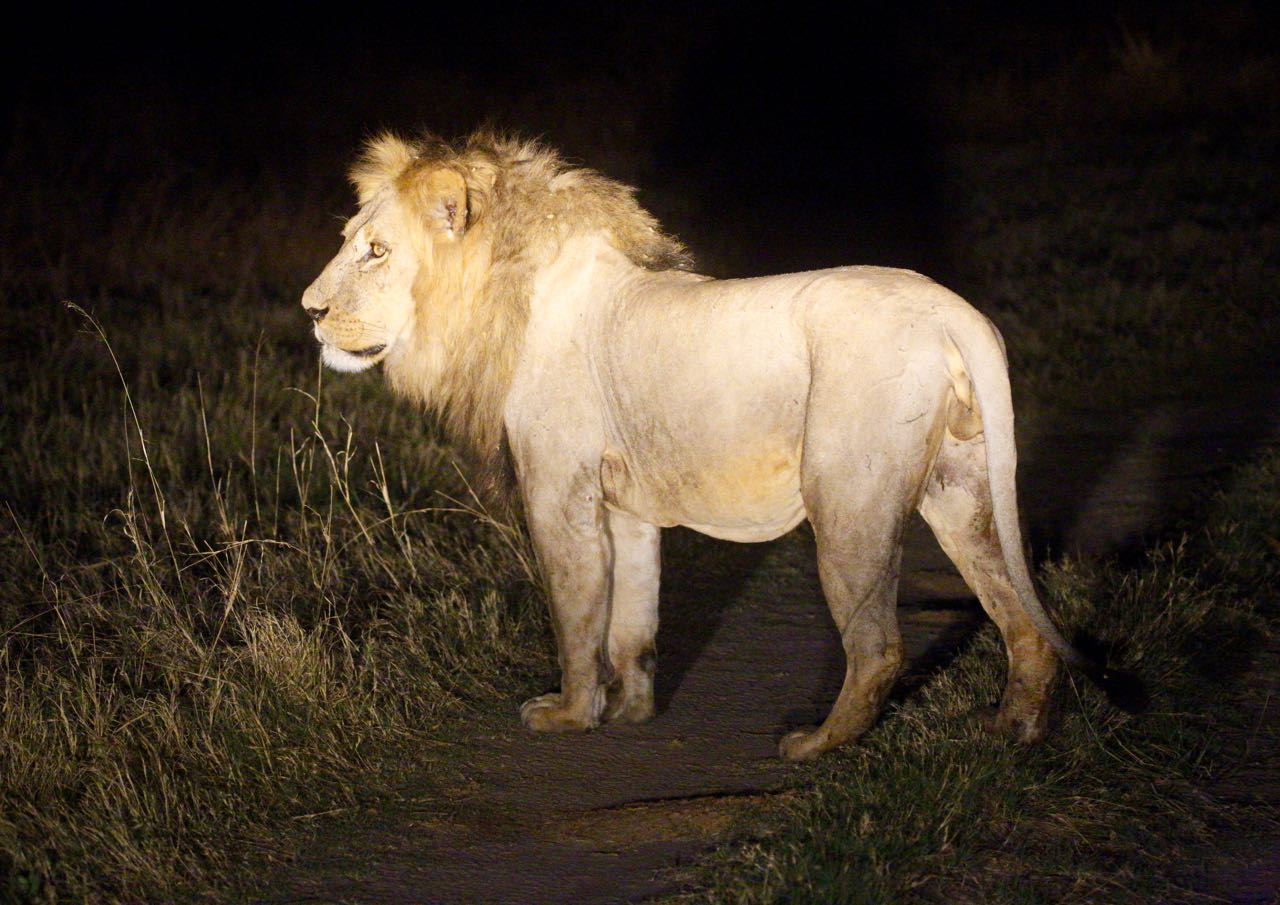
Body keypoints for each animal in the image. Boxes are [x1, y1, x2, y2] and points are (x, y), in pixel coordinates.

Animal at [302, 131, 1141, 762]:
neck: (504, 297)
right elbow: (632, 618)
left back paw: (816, 745)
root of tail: (950, 308)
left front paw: (569, 714)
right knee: (1020, 618)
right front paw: (633, 712)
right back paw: (1013, 730)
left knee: (878, 646)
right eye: (349, 243)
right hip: (961, 490)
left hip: (848, 499)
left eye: (376, 251)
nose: (309, 310)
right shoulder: (626, 505)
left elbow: (577, 613)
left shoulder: (557, 490)